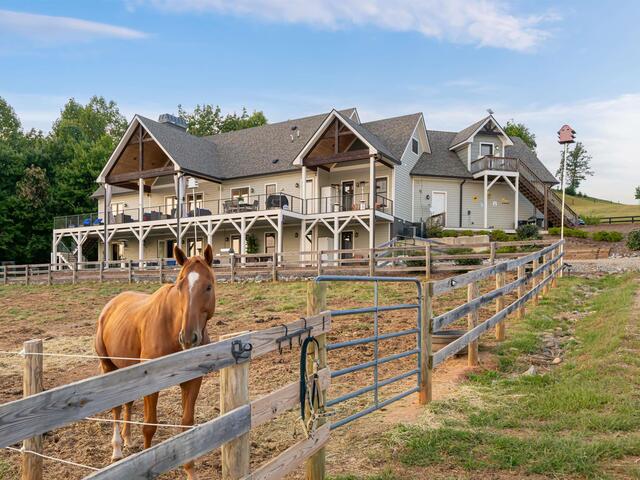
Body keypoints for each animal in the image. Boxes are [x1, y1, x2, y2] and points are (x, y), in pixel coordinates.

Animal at [94, 246, 216, 478]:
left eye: (208, 286)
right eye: (179, 286)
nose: (188, 338)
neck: (172, 326)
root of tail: (110, 305)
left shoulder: (192, 381)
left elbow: (186, 425)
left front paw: (190, 472)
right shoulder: (152, 384)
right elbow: (149, 426)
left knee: (127, 403)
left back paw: (127, 439)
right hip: (108, 367)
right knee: (116, 408)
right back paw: (117, 449)